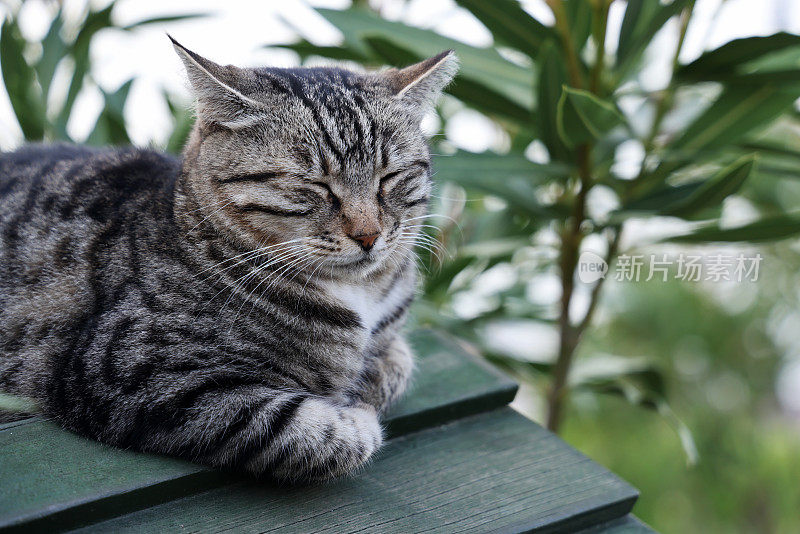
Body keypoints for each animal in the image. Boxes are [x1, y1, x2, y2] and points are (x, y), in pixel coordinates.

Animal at [0, 35, 460, 484]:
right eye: (313, 184)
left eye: (390, 177)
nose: (368, 235)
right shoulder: (138, 376)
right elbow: (300, 428)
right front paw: (356, 415)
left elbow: (397, 362)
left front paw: (366, 381)